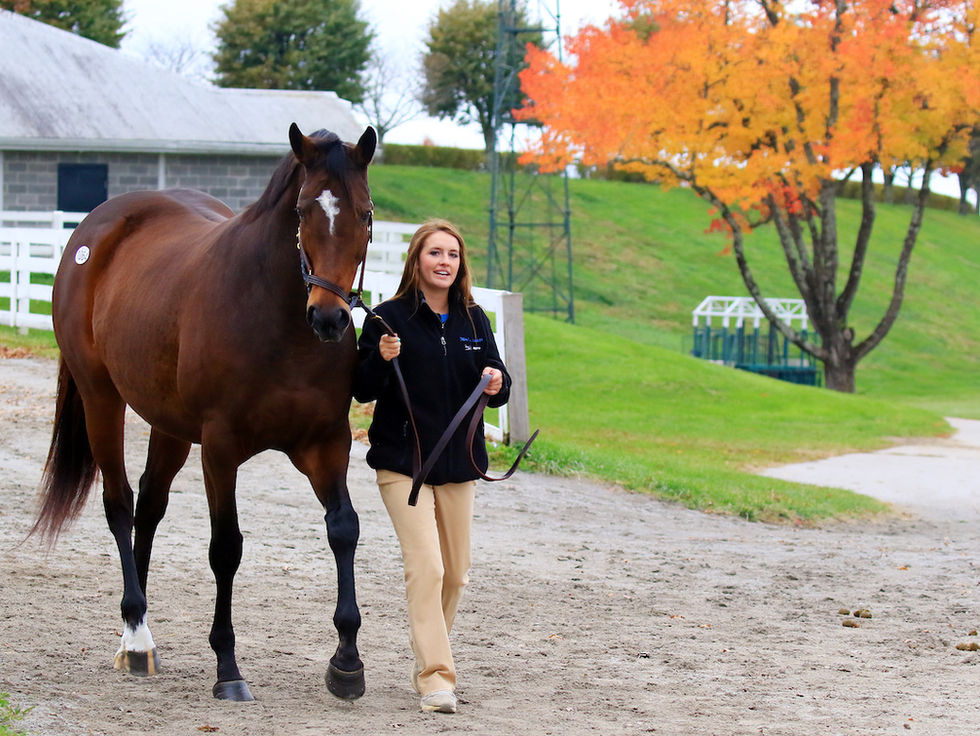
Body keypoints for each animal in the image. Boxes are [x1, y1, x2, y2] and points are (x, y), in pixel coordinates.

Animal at [33, 123, 377, 702]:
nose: (329, 319)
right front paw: (228, 666)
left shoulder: (326, 445)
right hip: (102, 398)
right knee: (120, 504)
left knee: (149, 506)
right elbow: (226, 549)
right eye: (303, 210)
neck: (279, 324)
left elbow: (344, 529)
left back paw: (133, 627)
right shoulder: (220, 449)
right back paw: (137, 637)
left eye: (366, 213)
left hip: (169, 425)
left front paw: (347, 662)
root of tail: (95, 228)